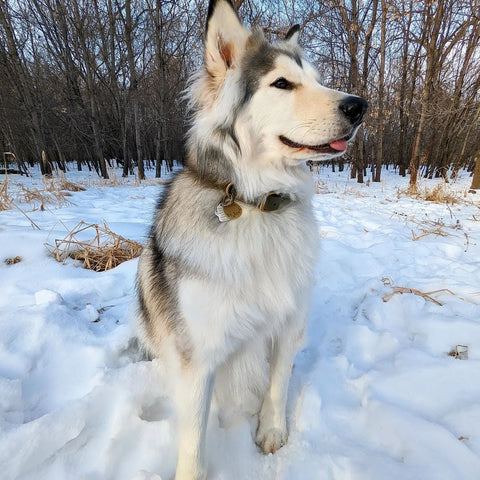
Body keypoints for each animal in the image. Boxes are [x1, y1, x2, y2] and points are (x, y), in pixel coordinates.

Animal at [136, 0, 368, 480]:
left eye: (317, 80)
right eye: (282, 83)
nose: (360, 106)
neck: (259, 204)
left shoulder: (289, 320)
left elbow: (277, 385)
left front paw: (271, 432)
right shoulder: (198, 355)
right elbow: (193, 441)